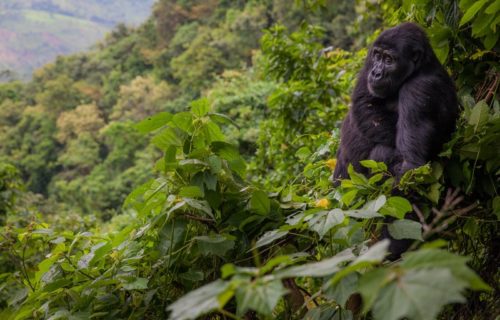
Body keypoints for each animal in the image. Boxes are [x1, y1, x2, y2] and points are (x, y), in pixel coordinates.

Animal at [334, 22, 458, 182]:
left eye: (389, 60)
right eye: (377, 56)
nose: (375, 73)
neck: (421, 67)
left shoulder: (419, 88)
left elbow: (410, 165)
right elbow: (364, 103)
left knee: (382, 152)